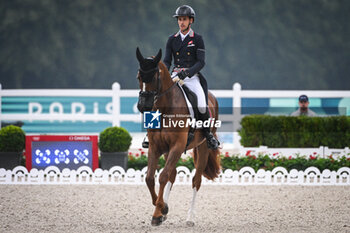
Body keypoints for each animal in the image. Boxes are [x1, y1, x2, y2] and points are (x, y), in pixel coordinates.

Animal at [135, 48, 220, 227]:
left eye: (154, 77)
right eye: (139, 77)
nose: (143, 106)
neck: (165, 108)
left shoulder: (178, 147)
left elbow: (162, 176)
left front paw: (160, 211)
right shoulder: (155, 147)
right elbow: (150, 178)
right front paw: (161, 210)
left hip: (202, 147)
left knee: (196, 180)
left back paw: (190, 218)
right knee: (172, 175)